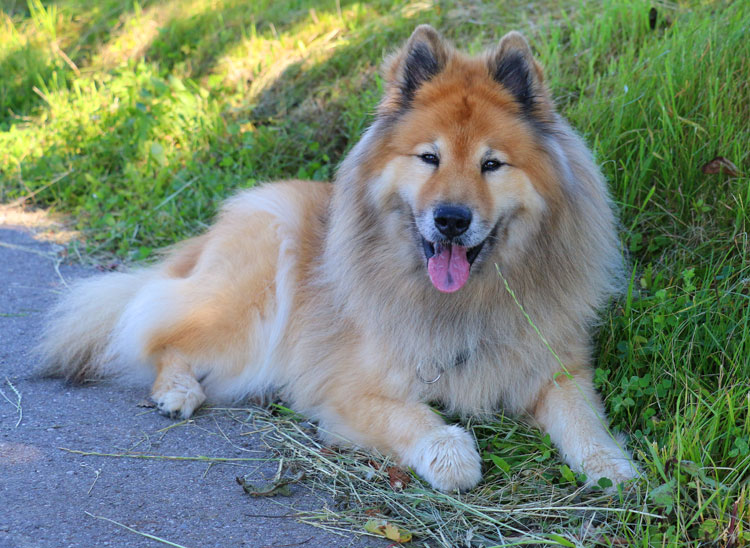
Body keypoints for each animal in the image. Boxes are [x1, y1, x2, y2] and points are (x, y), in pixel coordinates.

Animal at [38, 25, 640, 490]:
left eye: (491, 164)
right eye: (430, 158)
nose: (451, 218)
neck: (462, 301)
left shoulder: (558, 367)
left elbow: (583, 419)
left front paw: (612, 465)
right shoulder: (348, 389)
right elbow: (416, 419)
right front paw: (451, 454)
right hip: (248, 306)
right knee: (159, 336)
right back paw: (178, 391)